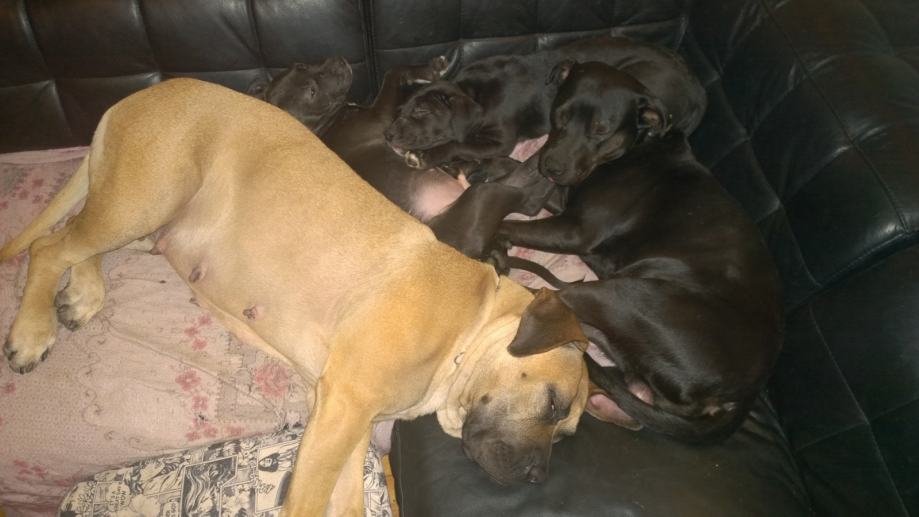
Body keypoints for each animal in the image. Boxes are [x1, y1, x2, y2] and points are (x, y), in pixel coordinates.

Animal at [0, 79, 591, 515]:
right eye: (553, 405)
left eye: (567, 434)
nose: (537, 476)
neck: (468, 329)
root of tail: (138, 95)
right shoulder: (344, 408)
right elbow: (308, 498)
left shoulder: (349, 420)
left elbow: (348, 502)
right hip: (148, 195)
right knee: (52, 246)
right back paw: (32, 332)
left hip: (143, 216)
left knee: (80, 235)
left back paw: (82, 293)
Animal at [383, 35, 706, 175]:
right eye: (400, 110)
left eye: (422, 112)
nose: (387, 134)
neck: (477, 92)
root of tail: (698, 89)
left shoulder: (500, 142)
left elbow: (458, 144)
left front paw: (428, 156)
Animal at [496, 130, 783, 443]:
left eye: (599, 131)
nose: (550, 165)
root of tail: (742, 396)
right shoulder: (568, 206)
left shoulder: (575, 229)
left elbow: (503, 225)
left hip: (623, 295)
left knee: (551, 303)